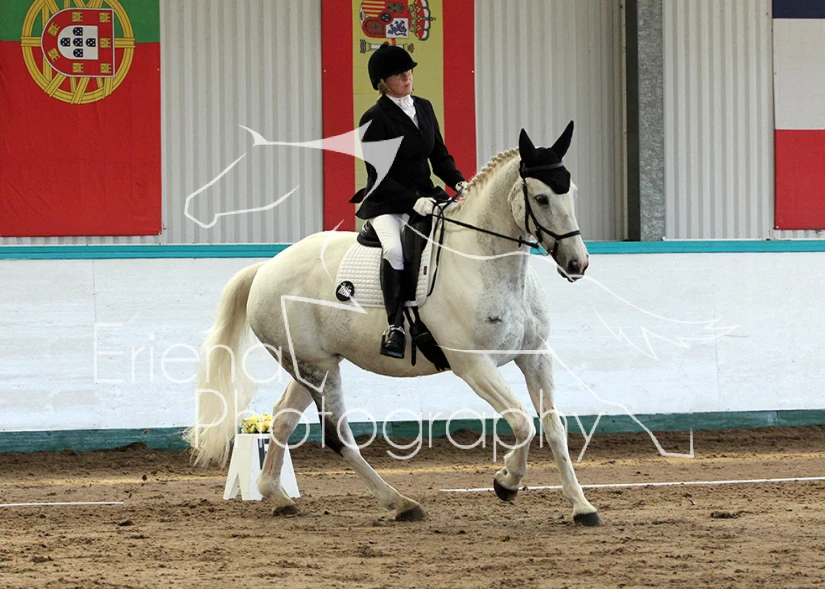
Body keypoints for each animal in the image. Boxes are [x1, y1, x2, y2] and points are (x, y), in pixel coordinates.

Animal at [185, 124, 603, 526]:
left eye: (571, 192)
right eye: (542, 198)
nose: (578, 263)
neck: (484, 262)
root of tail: (265, 268)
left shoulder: (535, 356)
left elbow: (554, 428)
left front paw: (582, 507)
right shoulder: (473, 364)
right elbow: (523, 424)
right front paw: (506, 482)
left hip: (312, 364)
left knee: (284, 420)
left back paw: (277, 496)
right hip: (317, 367)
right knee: (338, 435)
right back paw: (400, 503)